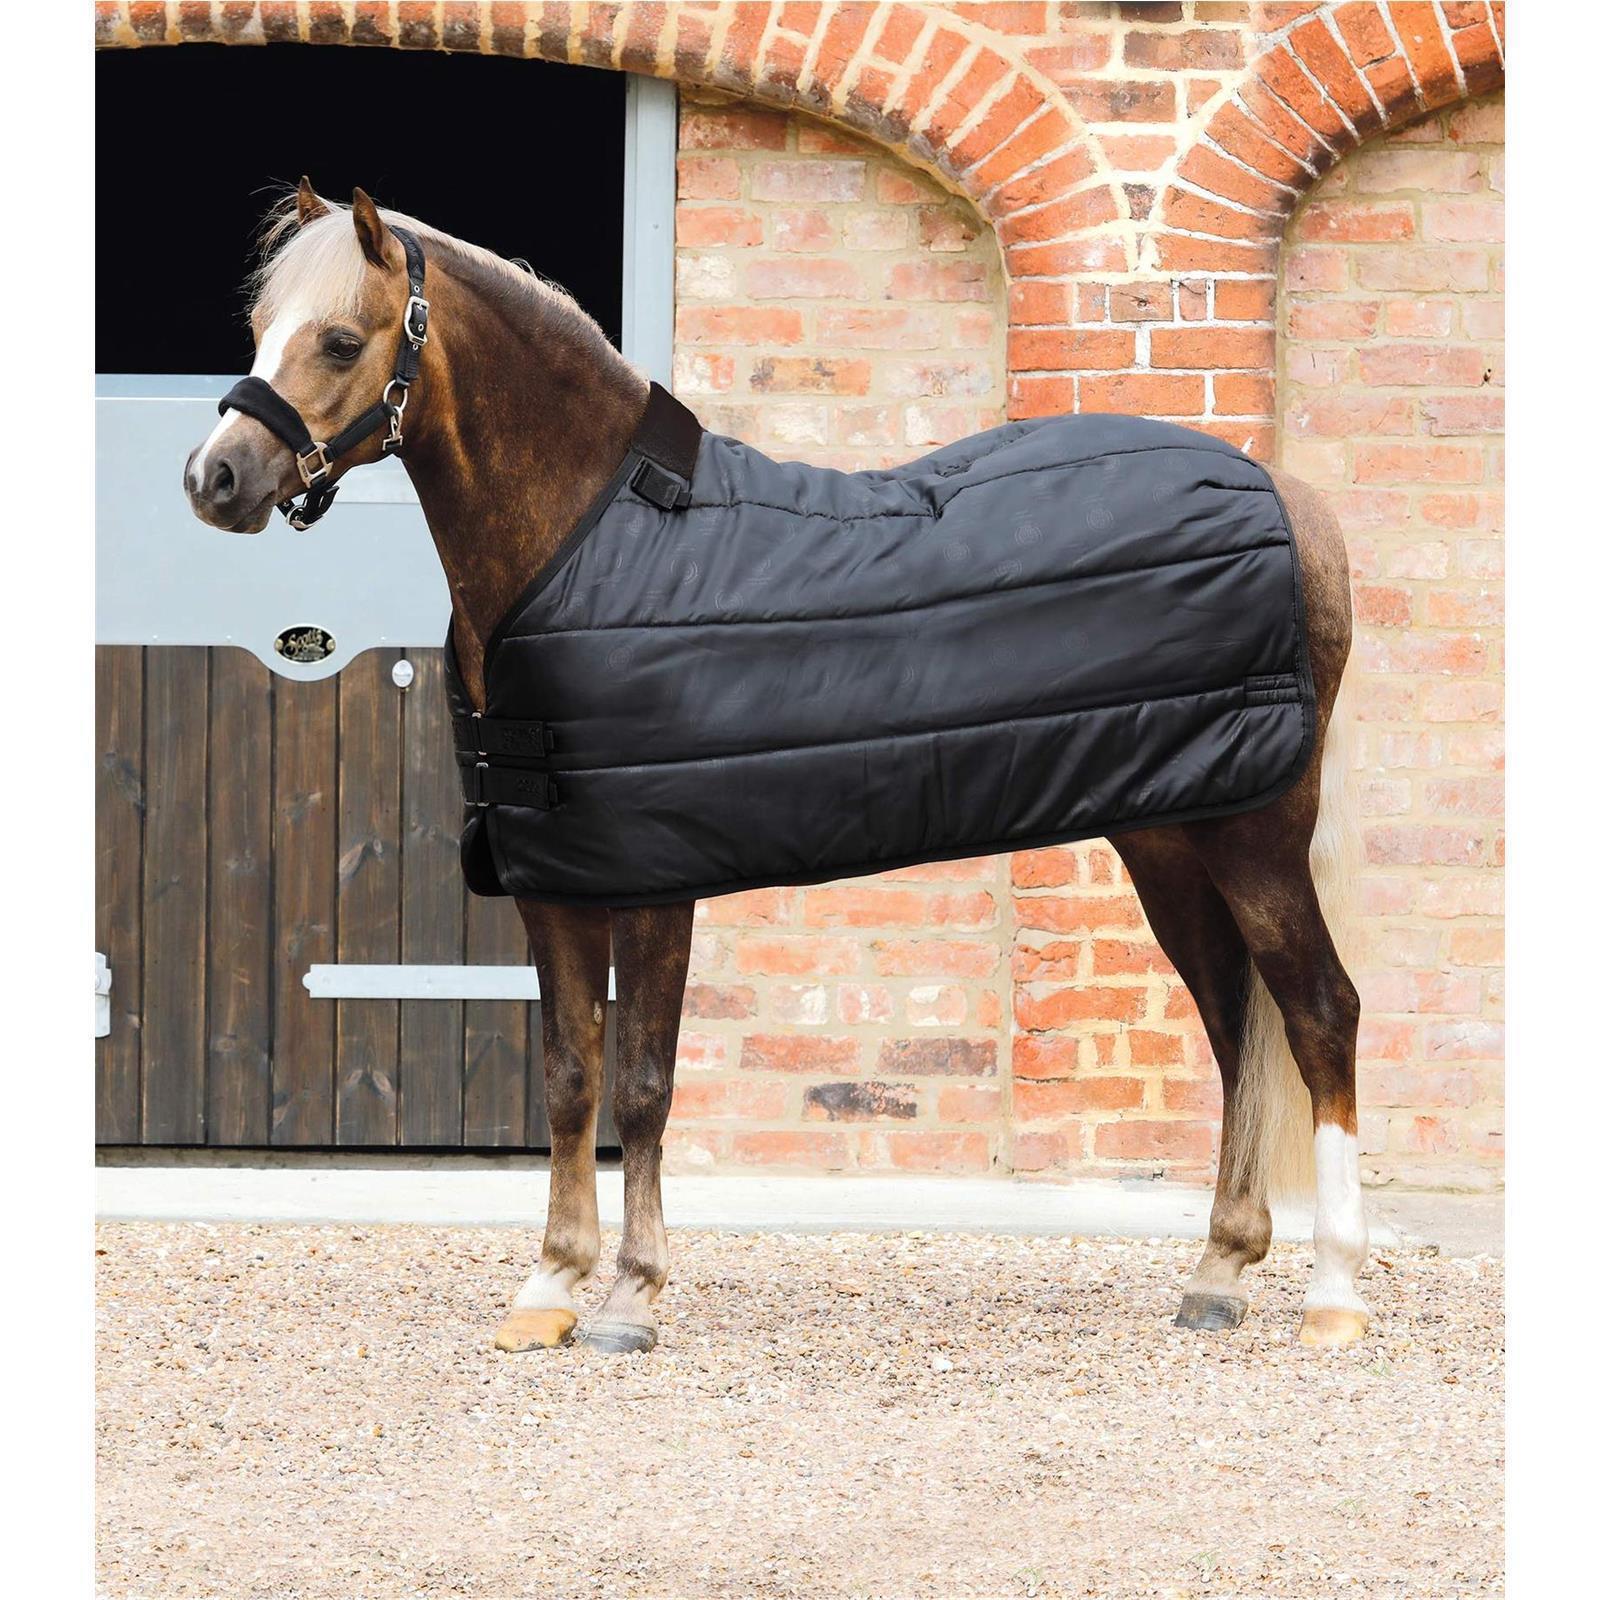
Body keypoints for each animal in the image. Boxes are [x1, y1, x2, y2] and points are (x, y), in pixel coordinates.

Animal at [183, 182, 1369, 1354]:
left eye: (341, 339)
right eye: (260, 324)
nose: (214, 478)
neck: (586, 544)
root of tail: (1288, 497)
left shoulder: (652, 879)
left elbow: (642, 1086)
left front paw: (631, 1295)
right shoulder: (550, 879)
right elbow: (569, 1078)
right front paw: (549, 1284)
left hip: (1258, 831)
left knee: (1319, 1012)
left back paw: (1335, 1294)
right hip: (1169, 832)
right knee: (1233, 1021)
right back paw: (1218, 1272)